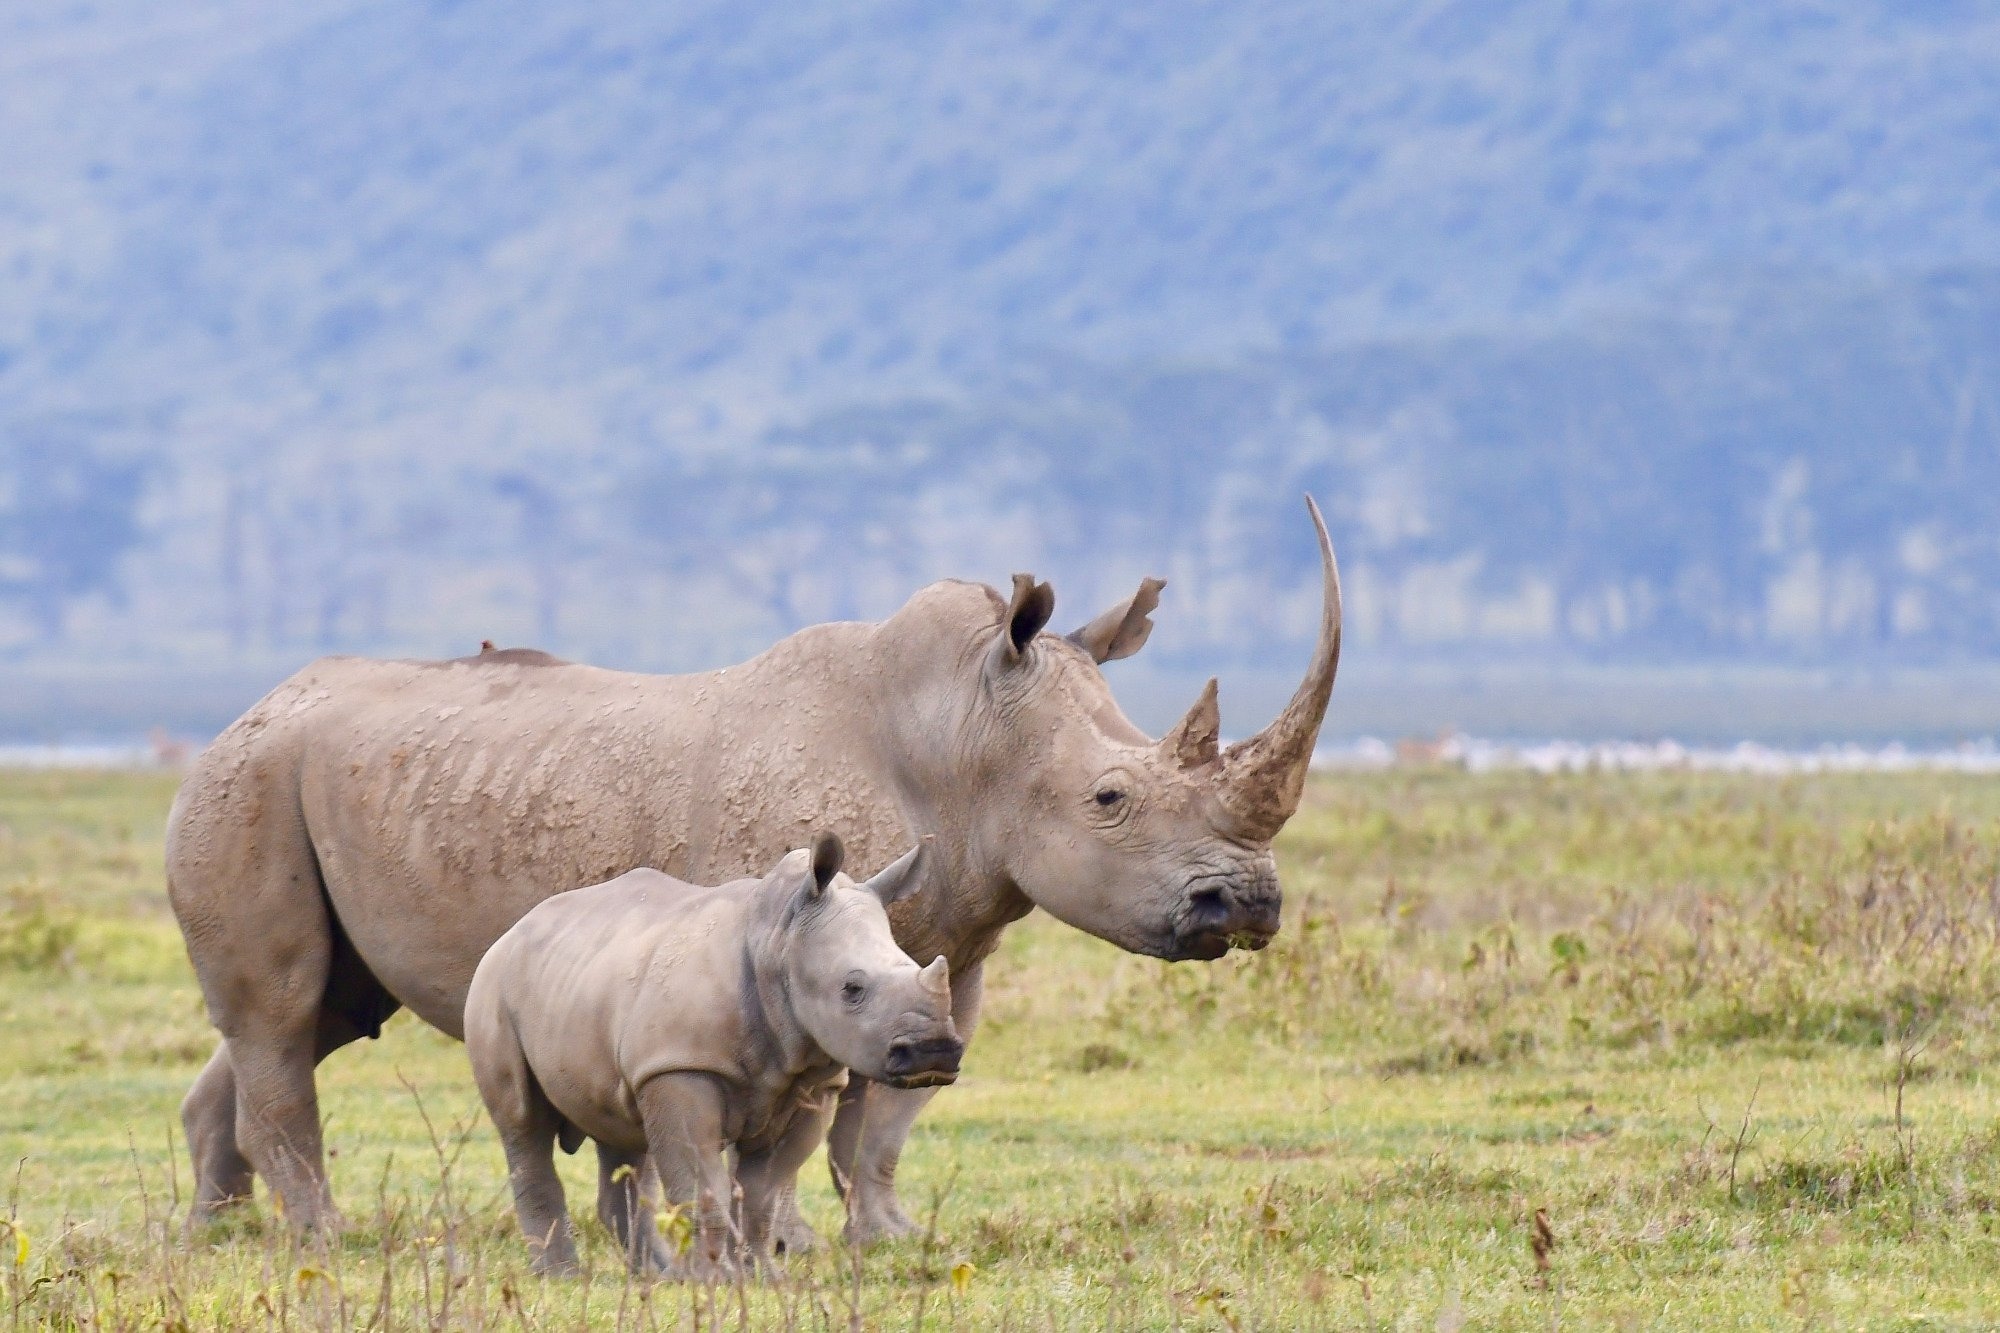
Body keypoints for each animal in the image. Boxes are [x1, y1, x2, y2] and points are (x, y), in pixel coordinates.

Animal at [470, 824, 968, 1272]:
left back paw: (658, 1276)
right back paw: (562, 1275)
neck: (778, 940)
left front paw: (760, 1276)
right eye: (852, 989)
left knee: (623, 1136)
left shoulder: (811, 1082)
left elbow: (764, 1192)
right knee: (523, 1123)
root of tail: (514, 929)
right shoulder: (682, 1066)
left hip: (590, 982)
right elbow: (701, 1184)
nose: (934, 1052)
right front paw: (716, 1280)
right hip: (495, 983)